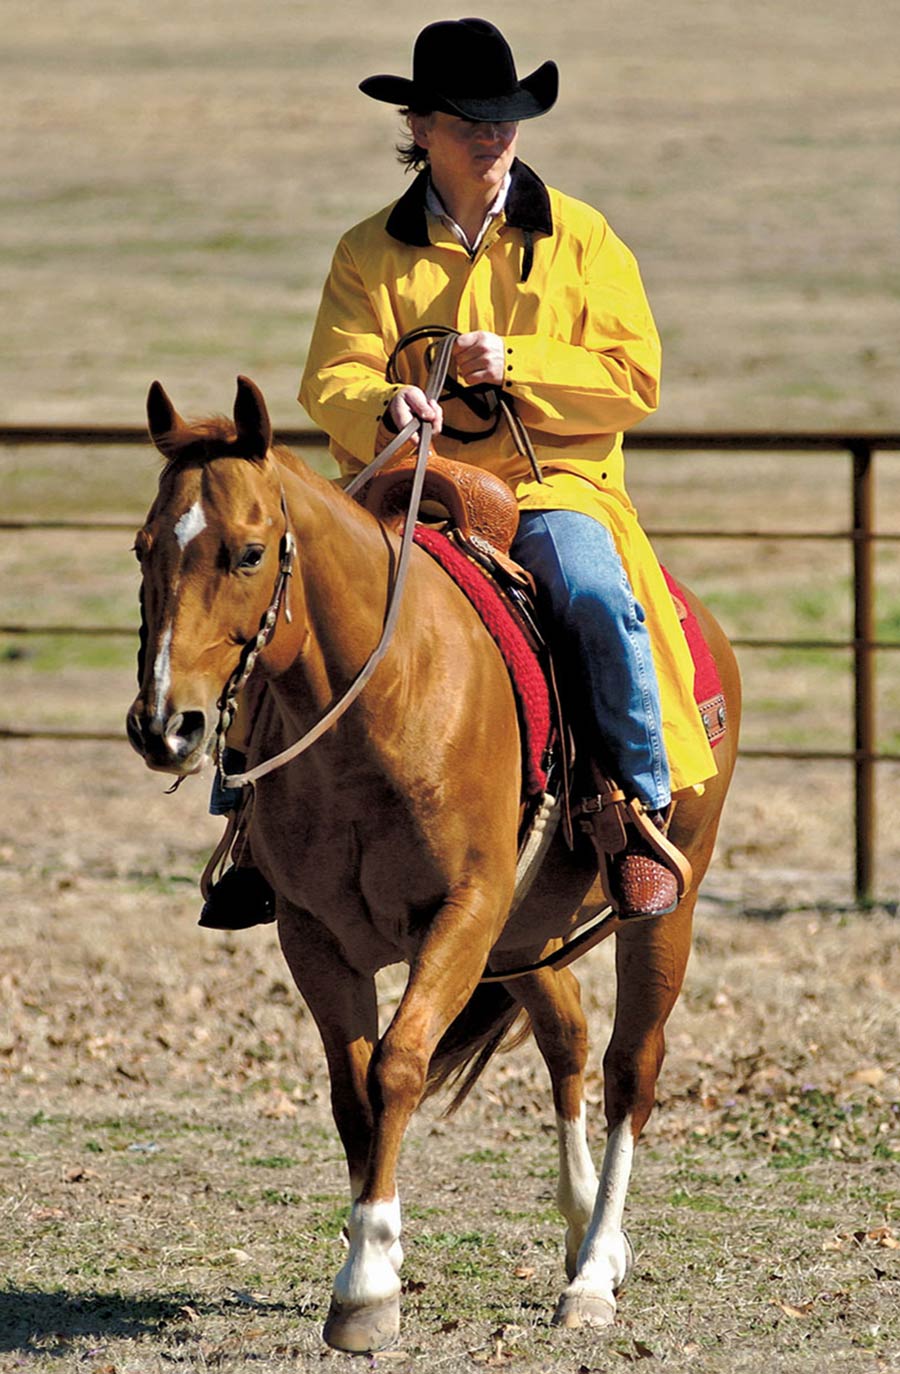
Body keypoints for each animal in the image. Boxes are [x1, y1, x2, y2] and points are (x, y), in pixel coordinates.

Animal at [128, 373, 747, 1352]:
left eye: (249, 552)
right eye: (144, 547)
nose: (164, 724)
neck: (384, 701)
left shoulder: (461, 914)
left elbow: (398, 1066)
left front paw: (368, 1281)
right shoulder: (315, 936)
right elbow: (353, 1091)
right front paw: (366, 1262)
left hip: (661, 913)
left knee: (629, 1067)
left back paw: (595, 1273)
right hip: (524, 933)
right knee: (568, 1036)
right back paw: (583, 1233)